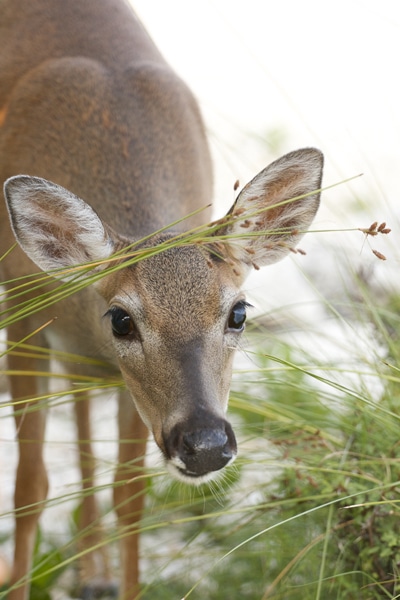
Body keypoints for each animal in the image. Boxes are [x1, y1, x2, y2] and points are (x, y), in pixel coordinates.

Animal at [0, 1, 322, 600]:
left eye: (238, 312)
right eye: (122, 320)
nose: (205, 443)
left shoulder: (131, 387)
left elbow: (130, 495)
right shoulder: (21, 316)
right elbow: (29, 487)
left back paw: (94, 572)